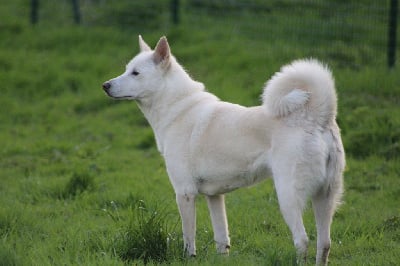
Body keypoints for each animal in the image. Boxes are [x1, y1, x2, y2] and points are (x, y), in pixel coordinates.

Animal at [102, 36, 344, 264]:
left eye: (135, 73)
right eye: (126, 69)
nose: (105, 85)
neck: (179, 108)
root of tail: (317, 116)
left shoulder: (185, 193)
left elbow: (188, 238)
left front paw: (189, 258)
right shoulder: (215, 196)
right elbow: (222, 239)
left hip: (288, 197)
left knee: (302, 241)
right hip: (324, 198)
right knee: (325, 244)